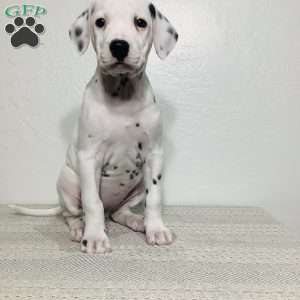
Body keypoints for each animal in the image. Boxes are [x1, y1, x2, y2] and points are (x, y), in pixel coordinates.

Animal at [8, 0, 178, 254]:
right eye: (100, 22)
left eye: (140, 22)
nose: (119, 46)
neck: (122, 97)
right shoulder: (89, 158)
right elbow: (92, 202)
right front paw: (95, 237)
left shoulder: (153, 155)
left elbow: (154, 198)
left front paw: (156, 229)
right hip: (68, 180)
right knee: (72, 214)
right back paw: (80, 229)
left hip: (137, 186)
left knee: (119, 212)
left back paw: (137, 221)